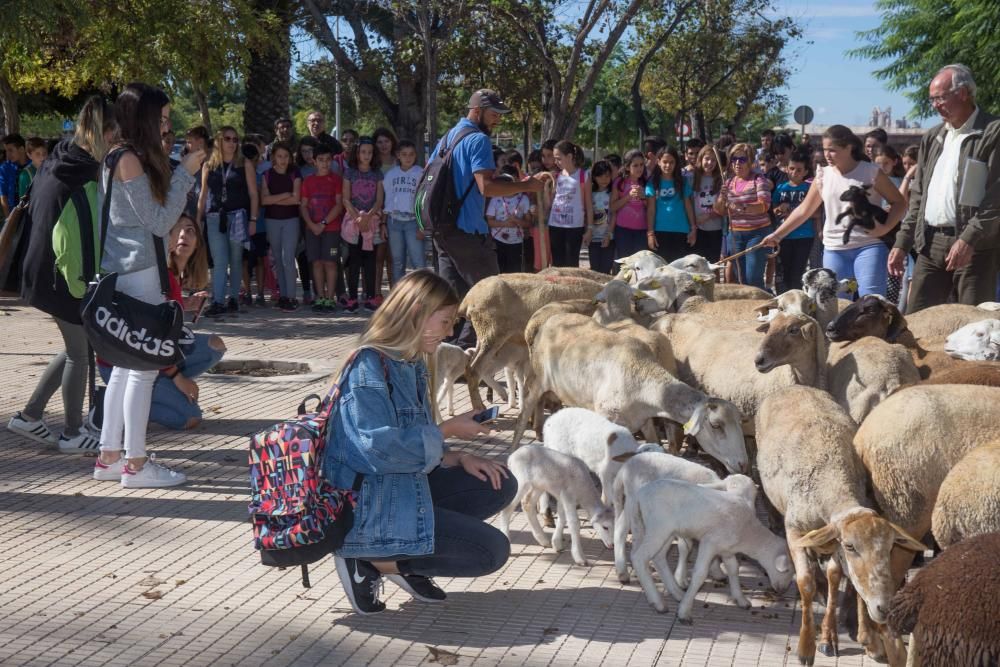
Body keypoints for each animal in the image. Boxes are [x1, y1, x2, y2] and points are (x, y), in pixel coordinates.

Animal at [628, 478, 792, 624]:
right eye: (789, 569)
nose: (783, 590)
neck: (747, 533)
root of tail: (640, 494)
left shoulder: (727, 550)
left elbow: (734, 569)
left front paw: (741, 599)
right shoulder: (709, 542)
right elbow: (700, 574)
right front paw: (684, 612)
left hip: (665, 531)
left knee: (658, 557)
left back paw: (677, 593)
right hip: (659, 526)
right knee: (639, 557)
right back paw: (658, 603)